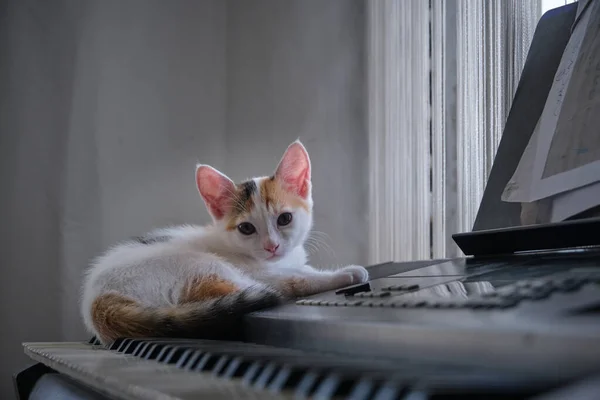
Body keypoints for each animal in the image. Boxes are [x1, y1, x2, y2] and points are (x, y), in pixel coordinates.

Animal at [79, 140, 368, 344]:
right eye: (246, 228)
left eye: (285, 218)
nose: (271, 246)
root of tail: (97, 303)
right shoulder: (264, 273)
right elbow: (298, 278)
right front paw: (346, 273)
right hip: (198, 267)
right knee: (272, 288)